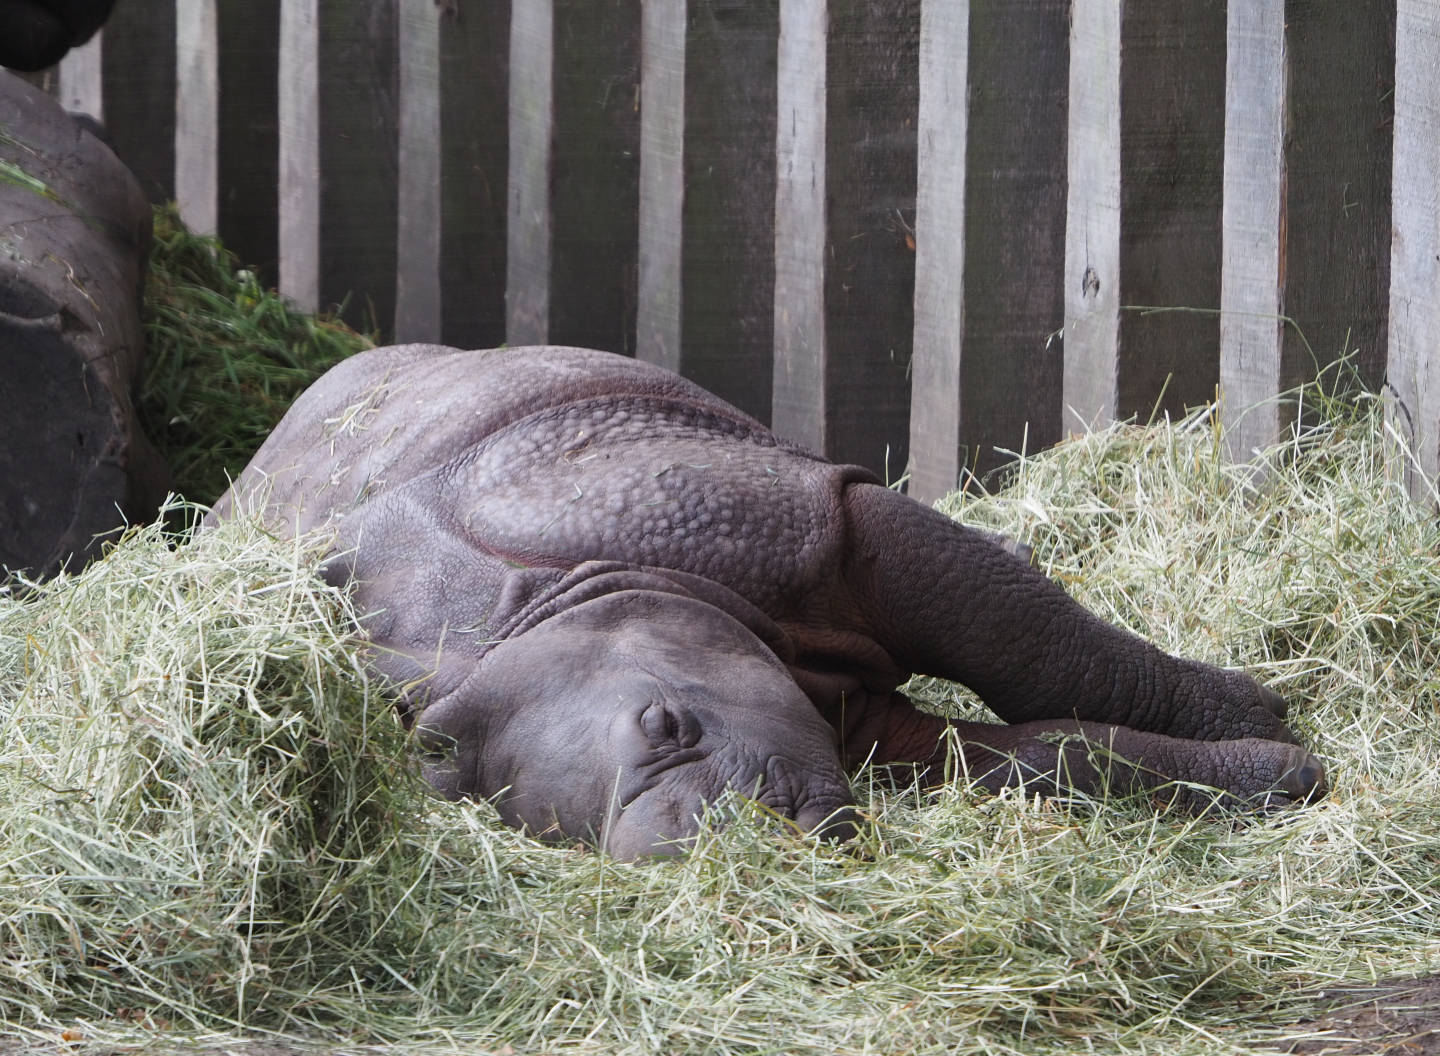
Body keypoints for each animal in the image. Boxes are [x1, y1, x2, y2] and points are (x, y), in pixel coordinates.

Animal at [211, 344, 1325, 859]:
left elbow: (1028, 639)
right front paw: (1281, 777)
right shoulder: (851, 723)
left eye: (670, 723)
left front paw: (1270, 725)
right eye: (562, 836)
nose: (709, 849)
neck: (534, 610)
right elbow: (1040, 757)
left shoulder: (805, 519)